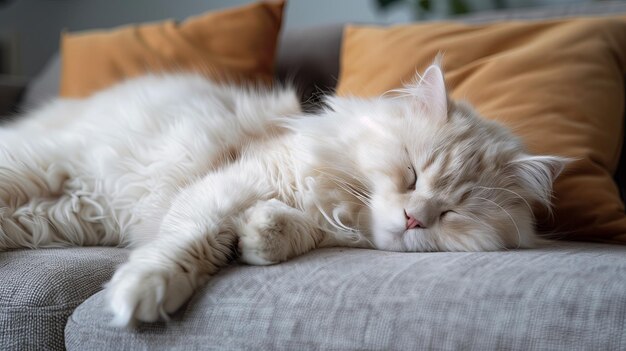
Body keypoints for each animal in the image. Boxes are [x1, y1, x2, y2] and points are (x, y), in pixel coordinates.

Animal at [0, 64, 564, 328]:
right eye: (411, 174)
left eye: (452, 212)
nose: (412, 219)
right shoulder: (225, 186)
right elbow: (184, 245)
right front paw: (143, 293)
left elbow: (277, 234)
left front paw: (258, 239)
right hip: (40, 168)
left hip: (59, 215)